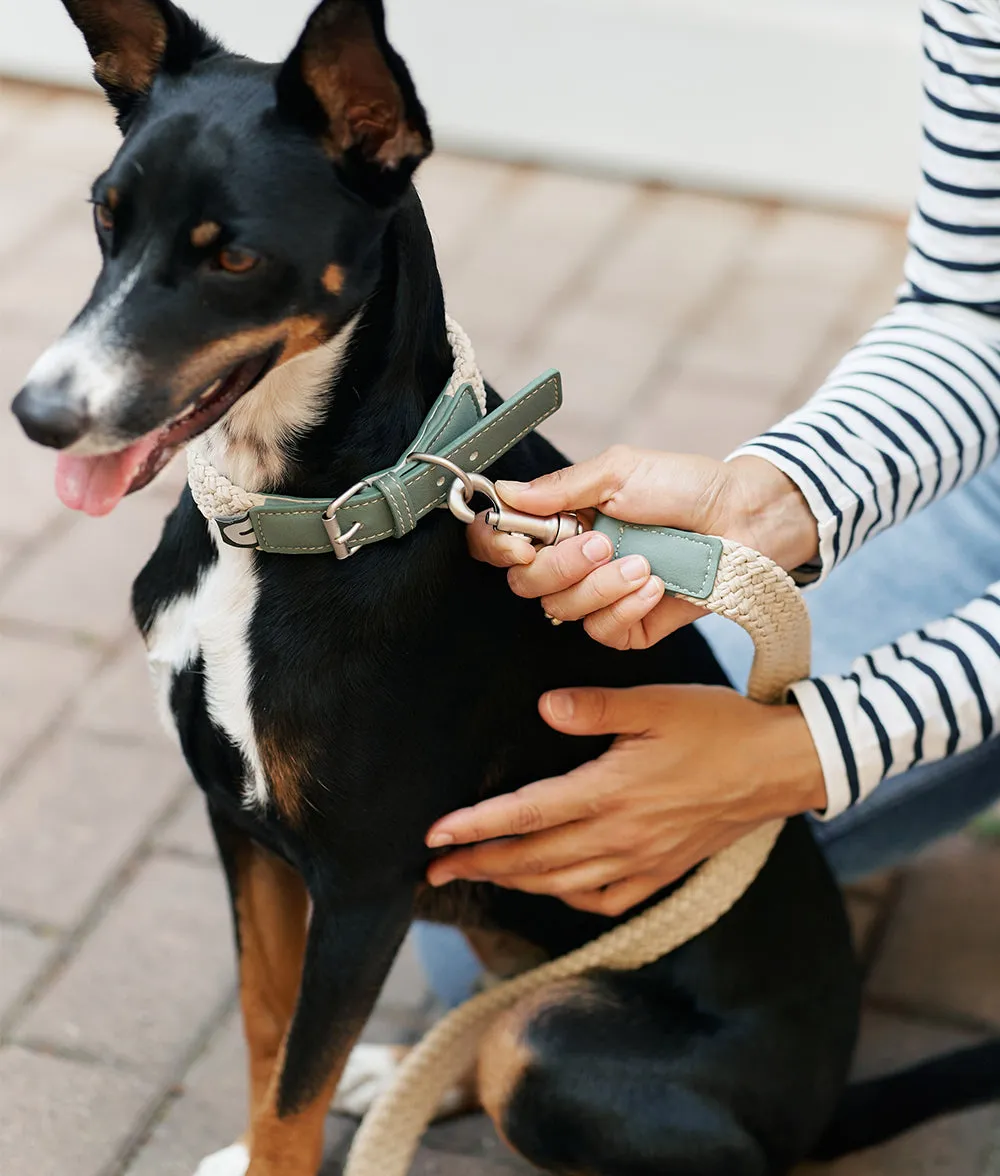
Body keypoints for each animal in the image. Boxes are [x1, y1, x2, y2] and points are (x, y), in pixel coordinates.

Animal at [9, 2, 997, 1176]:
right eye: (105, 218)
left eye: (235, 256)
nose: (38, 415)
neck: (313, 514)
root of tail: (822, 1107)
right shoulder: (241, 830)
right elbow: (265, 1035)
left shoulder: (362, 886)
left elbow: (296, 1088)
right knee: (467, 1037)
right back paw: (399, 1070)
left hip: (552, 1048)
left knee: (509, 1048)